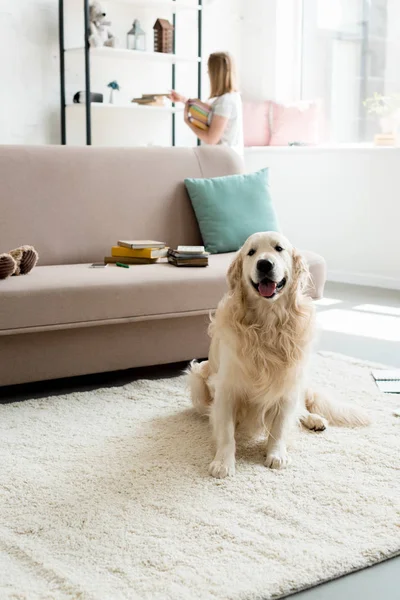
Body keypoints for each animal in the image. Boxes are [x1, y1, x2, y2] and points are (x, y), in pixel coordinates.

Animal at [188, 231, 368, 478]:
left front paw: (276, 454)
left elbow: (281, 425)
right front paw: (223, 462)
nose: (264, 264)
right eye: (251, 252)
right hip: (197, 377)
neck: (267, 324)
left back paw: (314, 419)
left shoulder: (288, 382)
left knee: (300, 410)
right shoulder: (226, 386)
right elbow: (226, 430)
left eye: (279, 248)